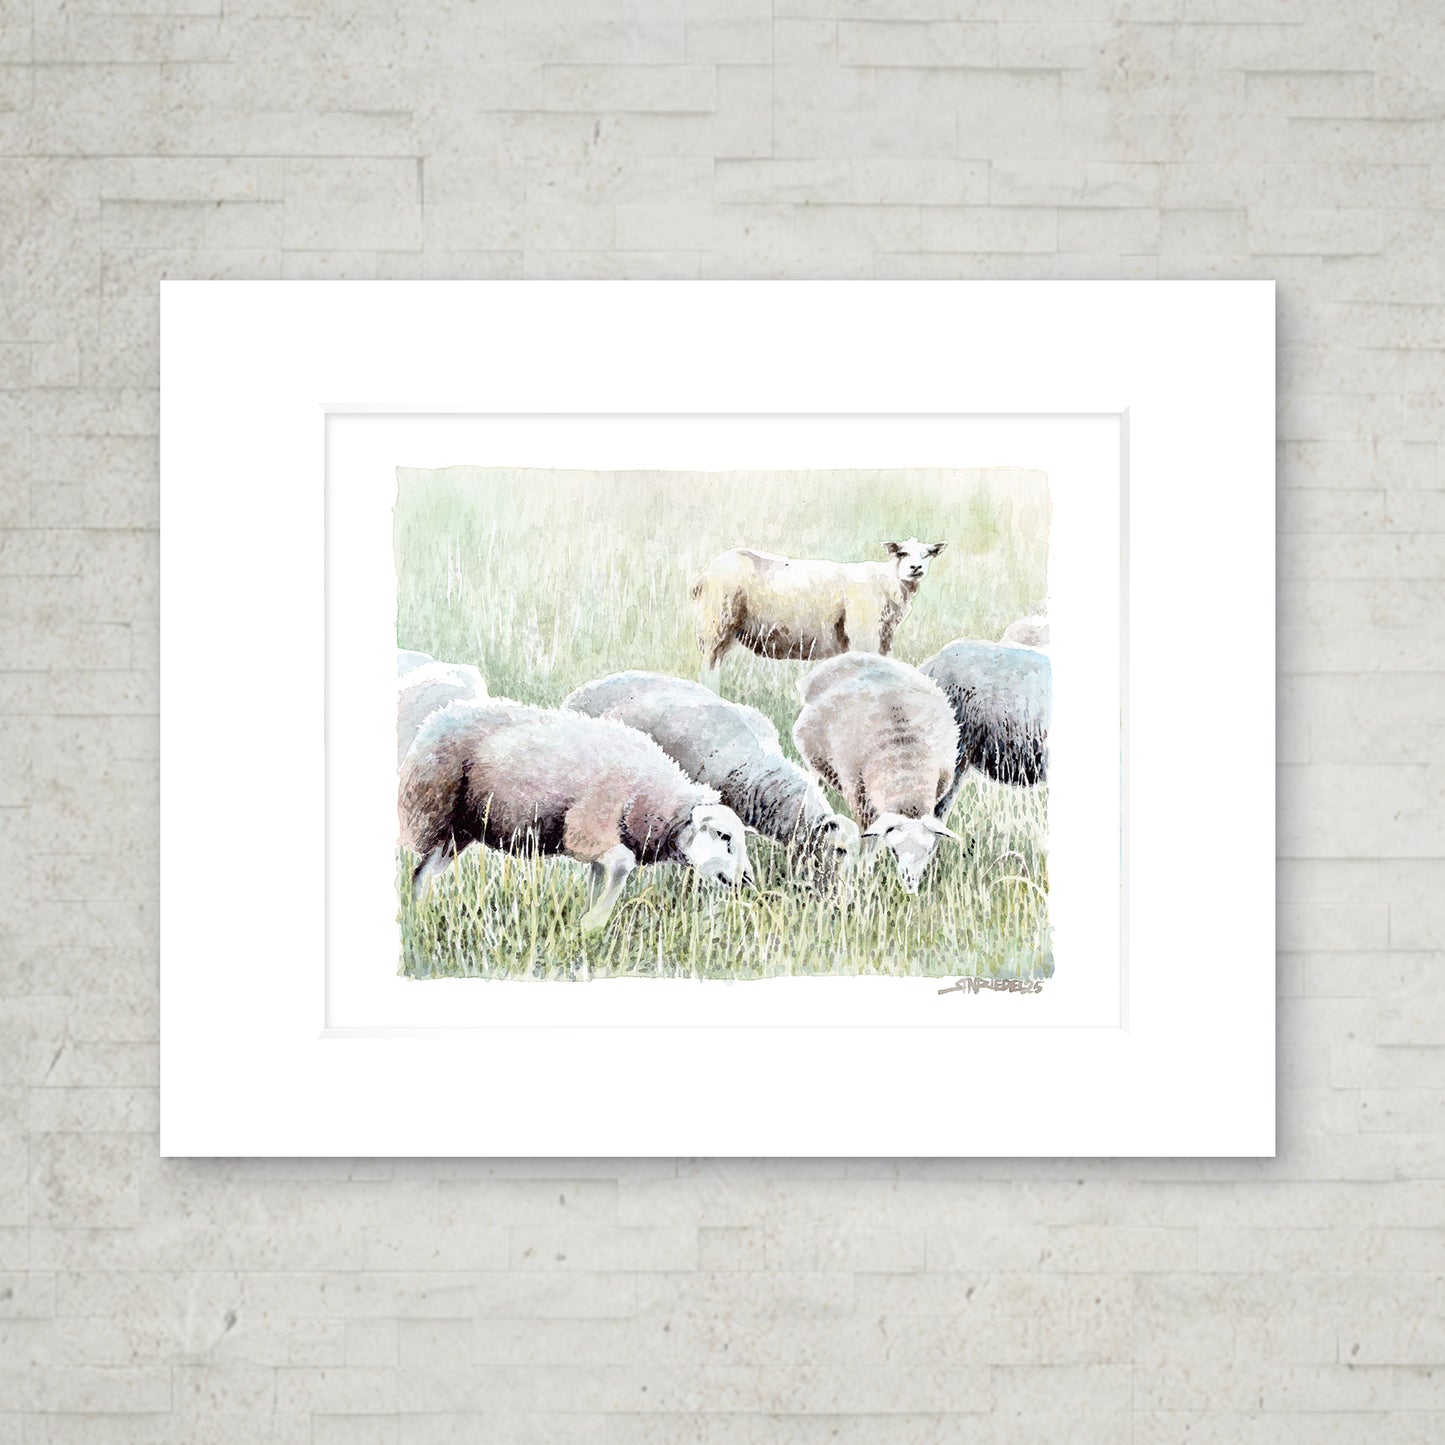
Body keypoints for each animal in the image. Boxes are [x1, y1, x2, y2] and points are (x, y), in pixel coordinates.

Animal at [399, 698, 755, 931]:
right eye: (723, 836)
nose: (748, 880)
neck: (652, 800)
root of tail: (434, 719)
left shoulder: (599, 840)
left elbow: (601, 877)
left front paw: (586, 921)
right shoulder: (586, 829)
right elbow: (622, 865)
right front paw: (594, 921)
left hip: (459, 830)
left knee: (423, 874)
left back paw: (420, 917)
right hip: (429, 811)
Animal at [690, 537, 947, 677]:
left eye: (927, 554)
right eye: (902, 553)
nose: (915, 568)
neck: (888, 581)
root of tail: (703, 576)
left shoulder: (881, 642)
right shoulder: (863, 639)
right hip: (715, 625)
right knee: (708, 672)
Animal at [791, 653, 962, 894]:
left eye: (928, 851)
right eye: (894, 851)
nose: (910, 887)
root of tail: (850, 655)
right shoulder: (859, 796)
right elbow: (869, 841)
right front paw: (866, 875)